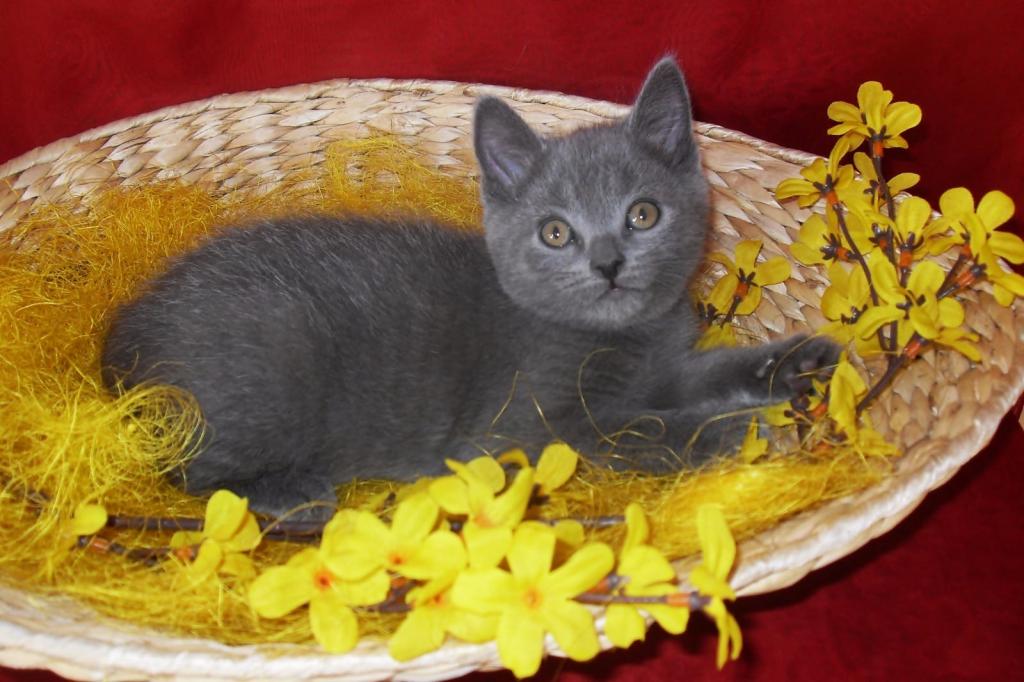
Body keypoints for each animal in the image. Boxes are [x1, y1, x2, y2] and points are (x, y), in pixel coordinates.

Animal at [102, 58, 839, 518]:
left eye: (643, 214)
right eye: (555, 232)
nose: (607, 264)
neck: (624, 334)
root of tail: (123, 329)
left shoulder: (665, 365)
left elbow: (700, 378)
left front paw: (794, 364)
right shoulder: (522, 427)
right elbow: (630, 427)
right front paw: (733, 429)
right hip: (272, 357)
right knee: (186, 470)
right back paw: (293, 494)